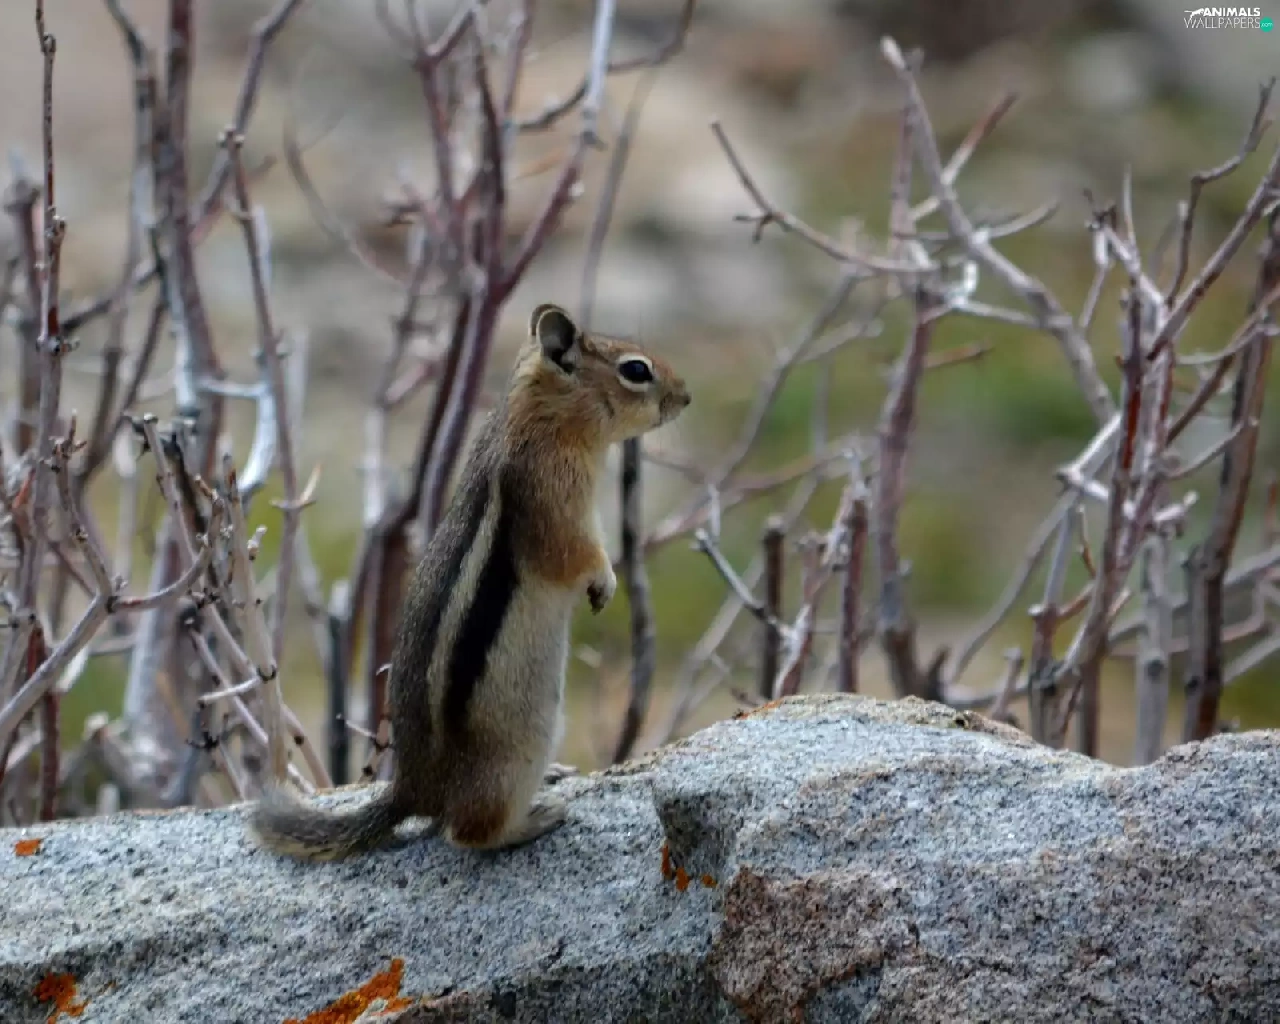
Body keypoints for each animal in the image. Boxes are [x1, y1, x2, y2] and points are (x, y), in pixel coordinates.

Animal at [247, 302, 690, 859]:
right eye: (635, 370)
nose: (686, 397)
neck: (540, 415)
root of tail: (412, 790)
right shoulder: (552, 497)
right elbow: (575, 554)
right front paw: (604, 582)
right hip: (515, 755)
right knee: (465, 831)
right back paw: (533, 820)